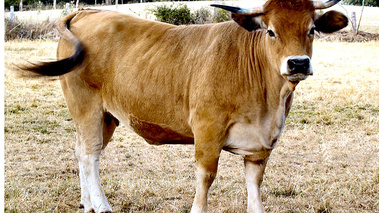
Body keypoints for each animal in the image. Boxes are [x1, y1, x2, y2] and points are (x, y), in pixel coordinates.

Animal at [17, 0, 348, 212]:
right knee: (89, 155)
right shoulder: (207, 132)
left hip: (106, 116)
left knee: (82, 151)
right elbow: (205, 180)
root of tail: (87, 11)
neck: (269, 101)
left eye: (312, 29)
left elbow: (254, 189)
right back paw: (101, 205)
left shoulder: (260, 147)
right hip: (86, 106)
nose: (298, 63)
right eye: (270, 31)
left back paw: (86, 203)